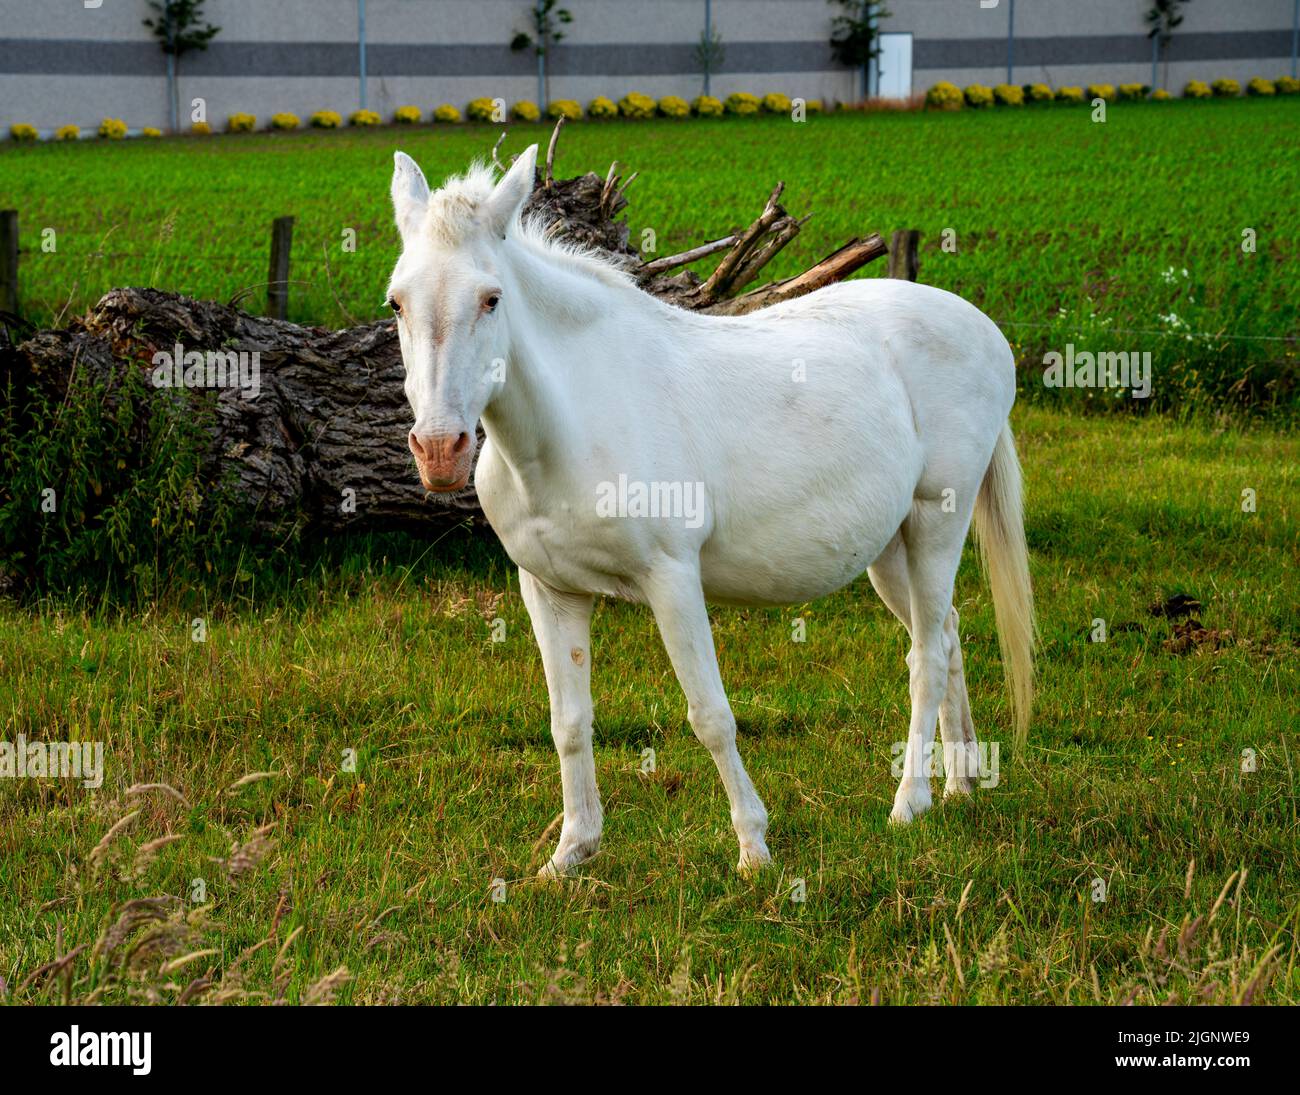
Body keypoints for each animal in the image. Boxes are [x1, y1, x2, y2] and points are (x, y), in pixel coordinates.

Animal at [384, 145, 1034, 873]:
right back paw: (960, 784)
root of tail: (985, 329)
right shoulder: (549, 590)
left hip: (936, 523)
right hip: (890, 550)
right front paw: (572, 852)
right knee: (946, 633)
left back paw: (909, 802)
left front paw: (754, 848)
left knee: (925, 655)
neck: (573, 417)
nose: (439, 450)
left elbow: (710, 714)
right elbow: (569, 722)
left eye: (491, 299)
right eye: (397, 302)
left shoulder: (672, 578)